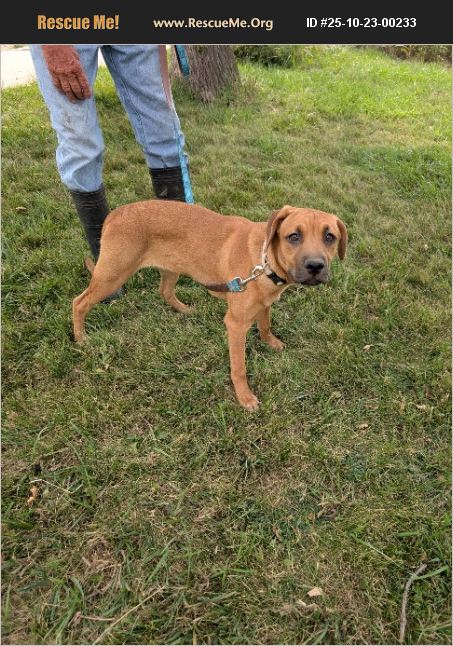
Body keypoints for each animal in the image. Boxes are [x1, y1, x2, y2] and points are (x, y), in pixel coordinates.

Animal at [73, 201, 347, 410]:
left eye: (329, 237)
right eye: (294, 236)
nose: (315, 266)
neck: (264, 260)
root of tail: (116, 213)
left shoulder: (264, 304)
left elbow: (265, 325)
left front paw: (271, 342)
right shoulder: (236, 324)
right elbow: (239, 367)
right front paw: (244, 397)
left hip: (171, 267)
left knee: (165, 292)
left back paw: (185, 310)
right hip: (112, 275)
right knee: (79, 302)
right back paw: (81, 337)